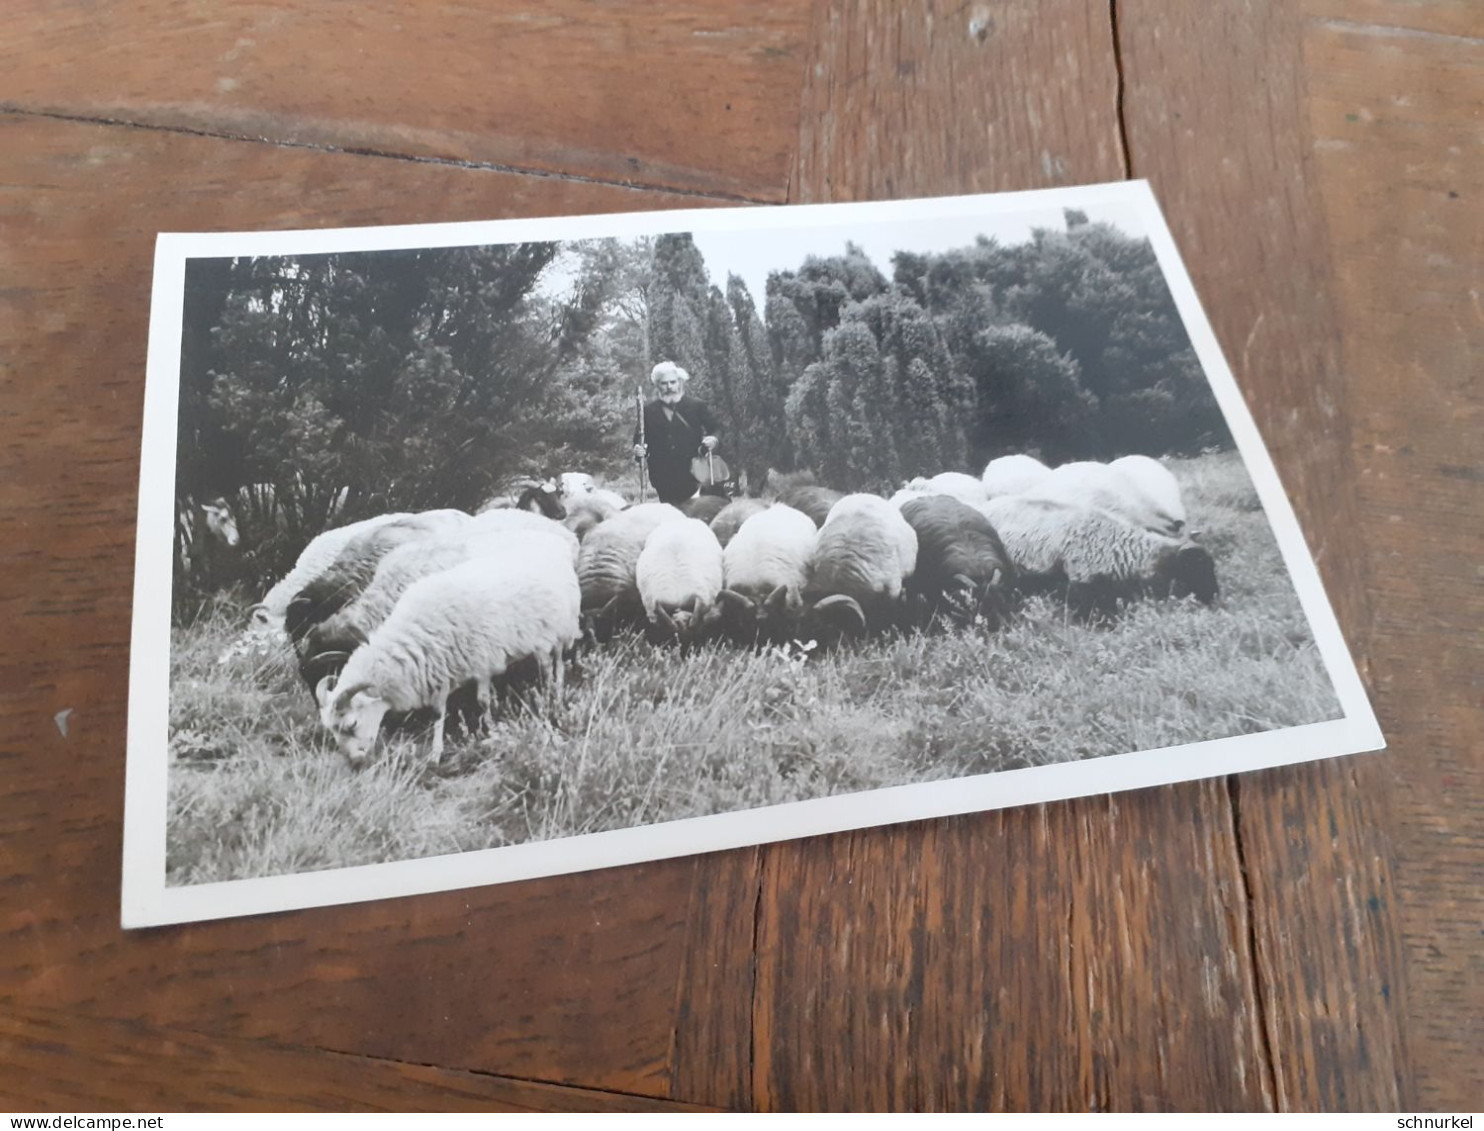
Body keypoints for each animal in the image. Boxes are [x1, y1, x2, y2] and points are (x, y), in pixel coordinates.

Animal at [317, 546, 578, 765]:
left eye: (352, 724)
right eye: (332, 730)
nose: (354, 763)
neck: (415, 633)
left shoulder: (482, 661)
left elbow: (483, 700)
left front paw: (491, 729)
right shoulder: (438, 671)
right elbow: (438, 713)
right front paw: (435, 753)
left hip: (560, 629)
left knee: (556, 663)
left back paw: (554, 695)